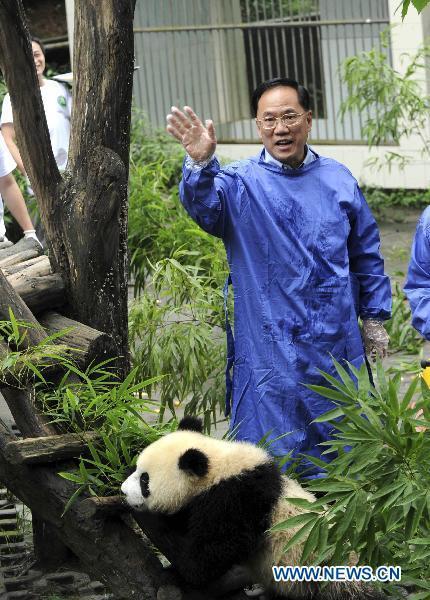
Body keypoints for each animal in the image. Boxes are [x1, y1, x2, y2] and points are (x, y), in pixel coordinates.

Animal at [120, 418, 382, 600]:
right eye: (137, 468)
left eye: (145, 481)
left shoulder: (236, 500)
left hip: (323, 574)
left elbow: (209, 557)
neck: (218, 468)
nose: (123, 491)